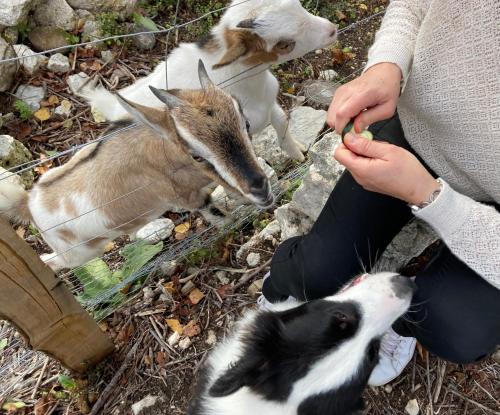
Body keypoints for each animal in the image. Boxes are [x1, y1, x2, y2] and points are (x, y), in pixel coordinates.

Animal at [0, 60, 274, 272]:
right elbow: (220, 216)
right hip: (78, 254)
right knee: (54, 262)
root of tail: (28, 204)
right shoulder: (190, 199)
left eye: (246, 124)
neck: (161, 155)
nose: (260, 188)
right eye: (196, 155)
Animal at [86, 0, 338, 162]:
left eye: (300, 6)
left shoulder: (270, 103)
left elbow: (283, 125)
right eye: (284, 44)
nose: (332, 30)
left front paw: (299, 155)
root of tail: (115, 107)